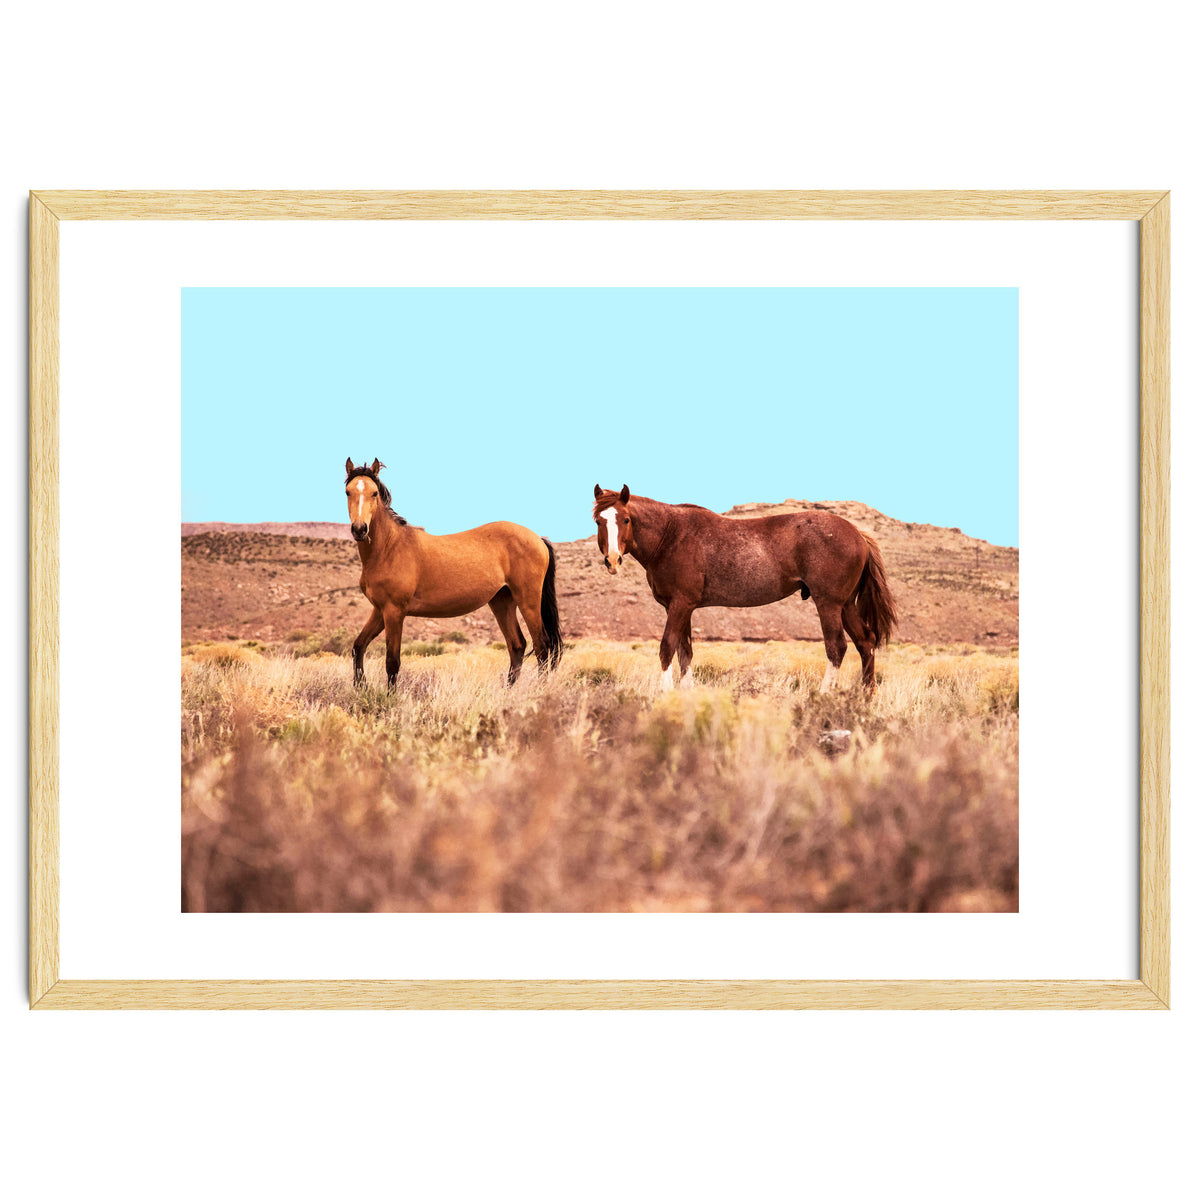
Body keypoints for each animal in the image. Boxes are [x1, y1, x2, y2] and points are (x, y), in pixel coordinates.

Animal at [344, 458, 563, 688]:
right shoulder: (380, 610)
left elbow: (392, 662)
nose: (360, 529)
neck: (389, 548)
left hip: (528, 601)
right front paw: (361, 686)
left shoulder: (394, 611)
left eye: (374, 493)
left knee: (542, 647)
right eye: (348, 492)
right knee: (517, 645)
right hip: (502, 601)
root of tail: (538, 538)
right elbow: (358, 646)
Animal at [592, 484, 897, 694]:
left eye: (626, 519)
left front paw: (665, 693)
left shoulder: (680, 605)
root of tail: (858, 534)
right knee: (866, 643)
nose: (612, 560)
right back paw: (865, 697)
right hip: (845, 605)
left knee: (837, 647)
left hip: (829, 604)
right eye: (598, 521)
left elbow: (667, 647)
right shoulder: (682, 608)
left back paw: (824, 695)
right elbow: (685, 652)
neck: (670, 535)